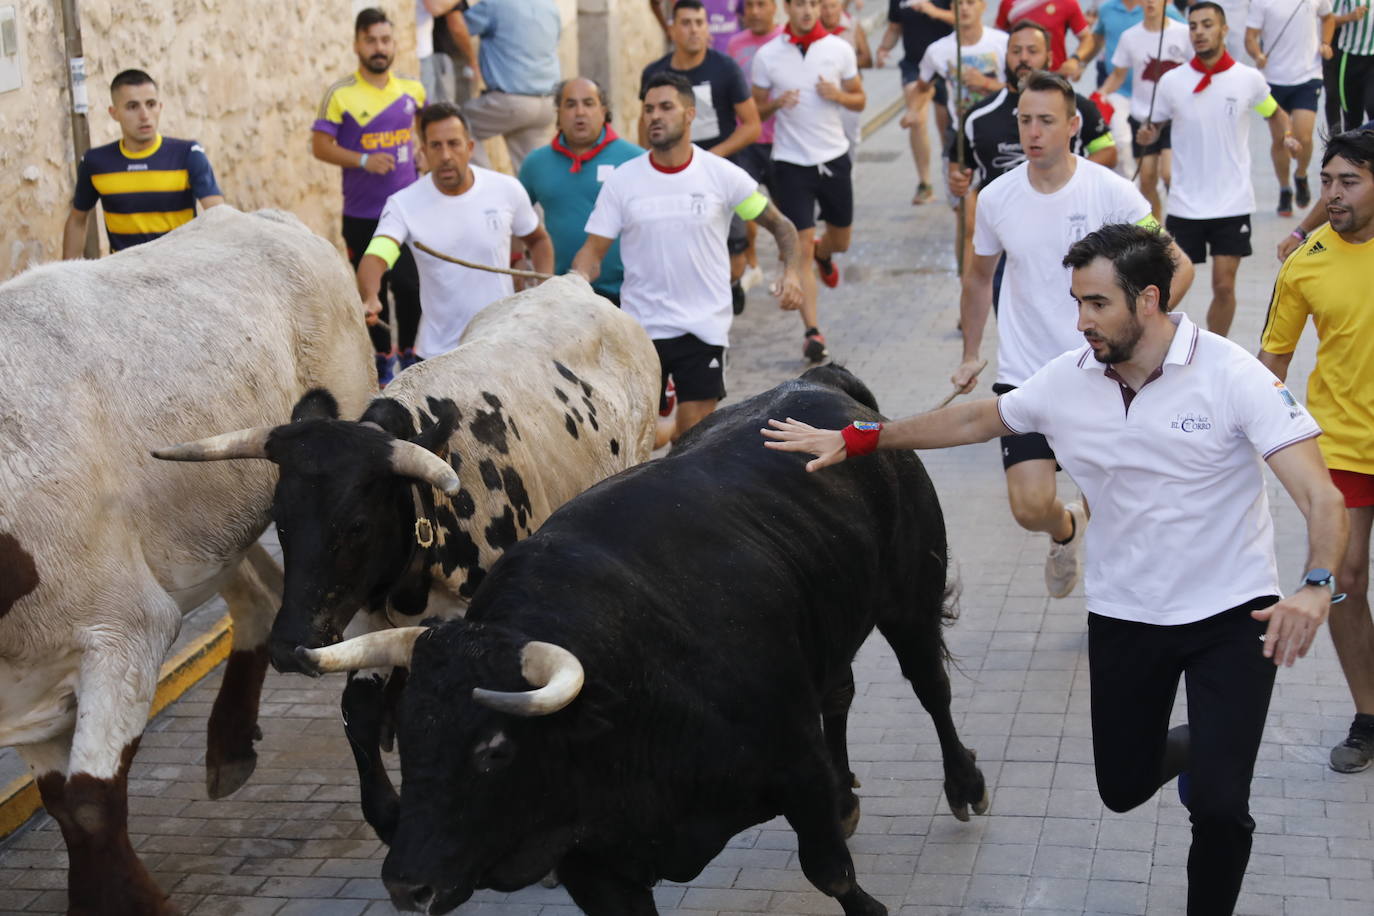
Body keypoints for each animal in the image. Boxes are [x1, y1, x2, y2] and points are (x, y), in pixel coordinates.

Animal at [0, 204, 376, 911]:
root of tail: (261, 216)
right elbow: (61, 800)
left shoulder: (126, 628)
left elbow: (89, 801)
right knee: (260, 593)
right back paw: (229, 743)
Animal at [155, 277, 659, 845]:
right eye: (278, 520)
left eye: (356, 525)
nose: (287, 645)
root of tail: (570, 284)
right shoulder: (358, 615)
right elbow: (357, 709)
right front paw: (387, 809)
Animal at [298, 365, 989, 916]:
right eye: (408, 740)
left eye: (494, 750)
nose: (405, 886)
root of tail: (819, 384)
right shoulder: (593, 864)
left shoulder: (796, 766)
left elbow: (832, 873)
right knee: (839, 692)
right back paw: (851, 795)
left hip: (909, 597)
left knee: (930, 686)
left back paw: (965, 785)